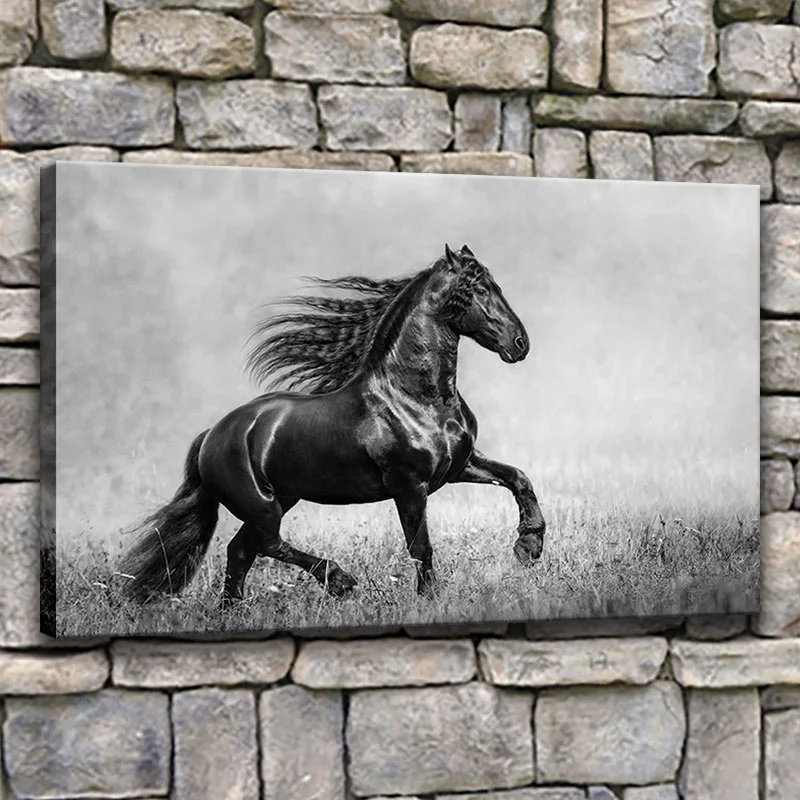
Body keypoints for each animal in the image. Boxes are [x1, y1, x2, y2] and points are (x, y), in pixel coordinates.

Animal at [119, 243, 546, 605]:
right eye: (478, 290)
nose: (520, 343)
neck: (416, 398)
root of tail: (212, 435)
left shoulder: (459, 466)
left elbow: (518, 478)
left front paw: (530, 546)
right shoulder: (408, 485)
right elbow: (420, 546)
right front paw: (428, 600)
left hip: (281, 498)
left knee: (241, 550)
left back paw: (231, 611)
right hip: (262, 505)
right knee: (267, 544)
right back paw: (338, 580)